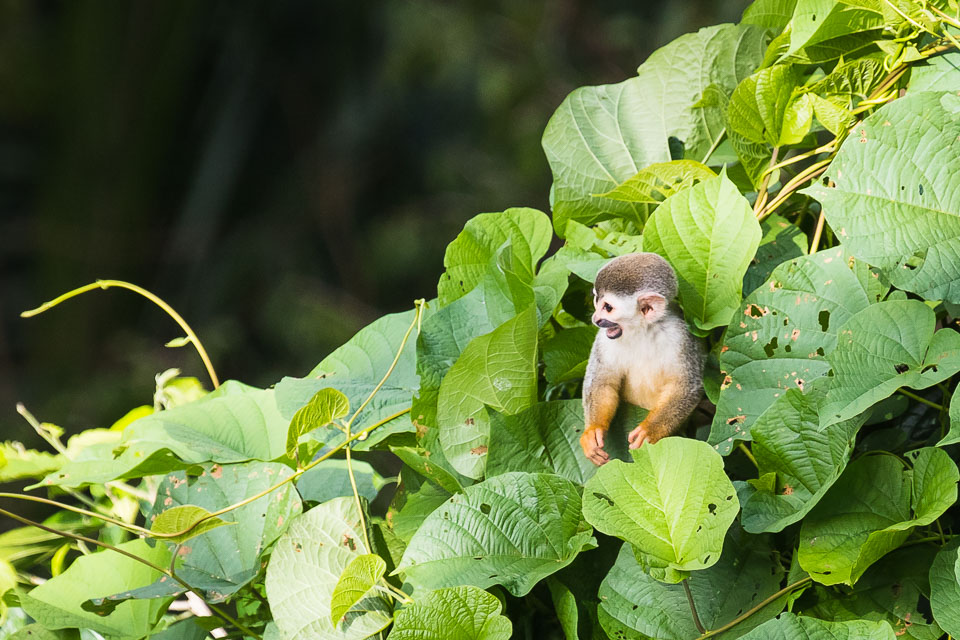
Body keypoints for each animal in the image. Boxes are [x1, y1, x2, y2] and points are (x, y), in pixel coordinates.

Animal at [576, 254, 704, 464]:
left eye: (608, 307)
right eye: (596, 299)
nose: (596, 319)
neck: (641, 330)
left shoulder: (681, 336)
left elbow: (685, 386)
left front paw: (650, 431)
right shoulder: (604, 339)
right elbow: (602, 383)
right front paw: (593, 431)